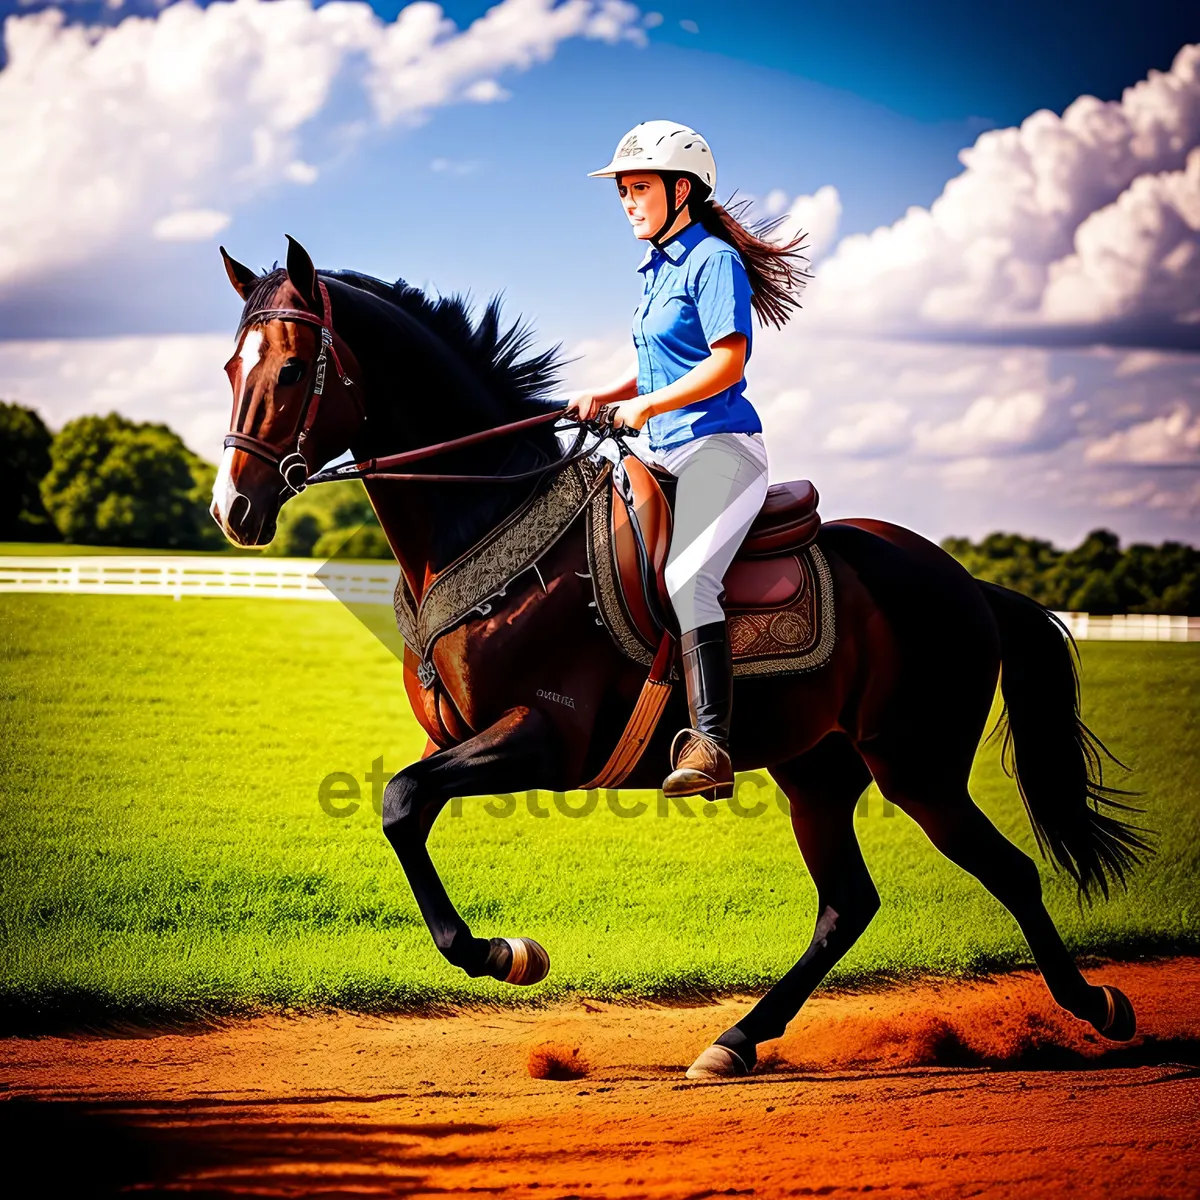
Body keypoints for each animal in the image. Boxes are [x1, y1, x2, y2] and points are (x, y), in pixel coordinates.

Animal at [211, 234, 1147, 1080]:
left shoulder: (547, 737)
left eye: (290, 371)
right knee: (847, 905)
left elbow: (402, 801)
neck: (486, 522)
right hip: (819, 770)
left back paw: (1098, 1006)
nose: (232, 509)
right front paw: (504, 951)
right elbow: (403, 808)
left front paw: (506, 953)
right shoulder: (464, 739)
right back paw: (735, 1041)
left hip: (918, 767)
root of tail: (965, 582)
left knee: (1010, 873)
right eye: (229, 367)